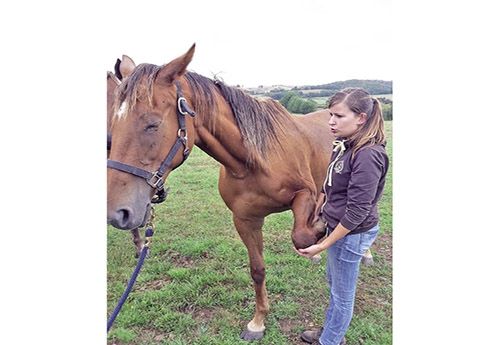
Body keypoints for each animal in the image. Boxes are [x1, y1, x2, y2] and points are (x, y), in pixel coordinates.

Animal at [106, 44, 372, 340]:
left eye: (153, 124)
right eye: (112, 128)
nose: (117, 212)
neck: (253, 159)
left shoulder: (305, 193)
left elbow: (302, 235)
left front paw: (319, 228)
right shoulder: (246, 219)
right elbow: (258, 269)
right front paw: (257, 322)